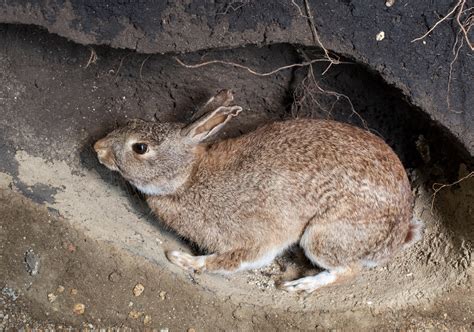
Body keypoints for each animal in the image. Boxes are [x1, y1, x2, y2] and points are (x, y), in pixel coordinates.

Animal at [93, 89, 422, 292]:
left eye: (140, 148)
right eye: (132, 122)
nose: (98, 148)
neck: (188, 178)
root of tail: (397, 236)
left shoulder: (257, 237)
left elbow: (234, 260)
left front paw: (183, 260)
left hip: (324, 235)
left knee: (348, 270)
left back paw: (301, 285)